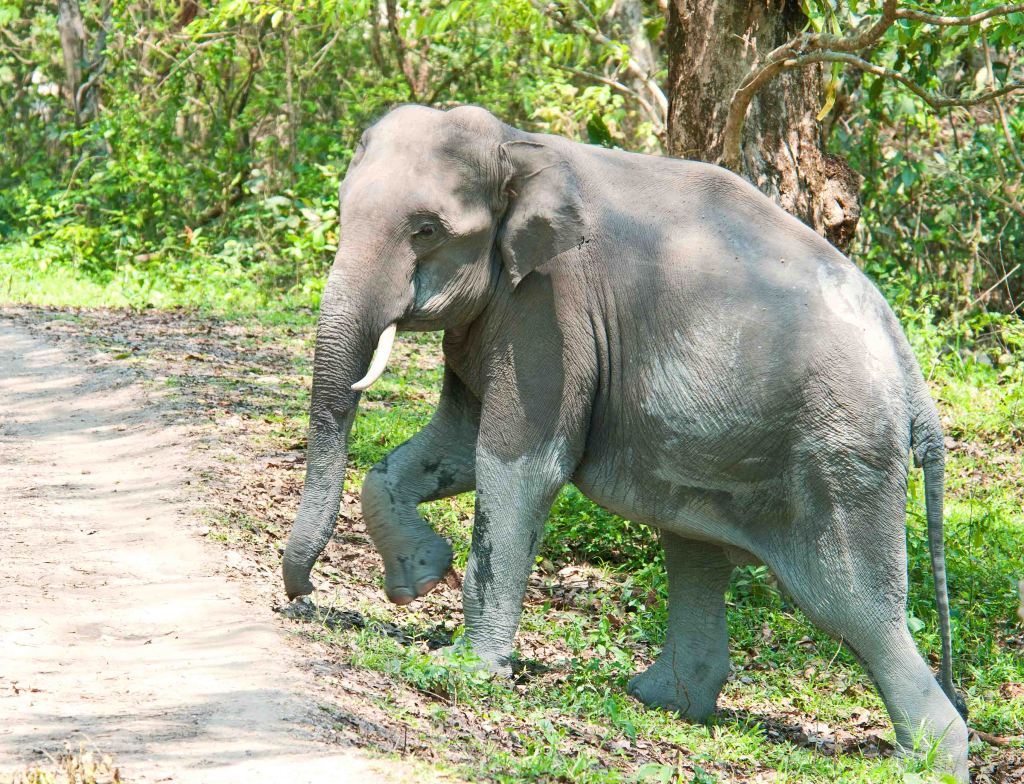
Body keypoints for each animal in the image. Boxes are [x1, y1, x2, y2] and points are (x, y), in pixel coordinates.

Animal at [281, 104, 968, 779]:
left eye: (426, 230)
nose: (303, 598)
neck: (516, 144)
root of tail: (915, 384)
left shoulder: (551, 310)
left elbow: (519, 466)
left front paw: (461, 669)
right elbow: (452, 447)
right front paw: (418, 580)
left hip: (844, 456)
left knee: (851, 605)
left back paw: (929, 761)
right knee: (695, 552)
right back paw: (660, 699)